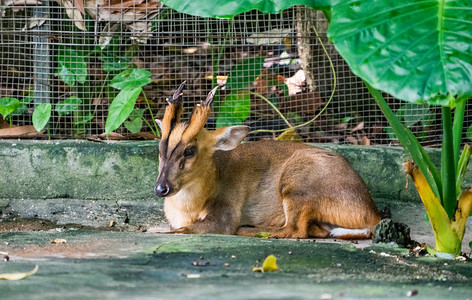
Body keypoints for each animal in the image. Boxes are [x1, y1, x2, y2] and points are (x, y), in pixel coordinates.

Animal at [156, 82, 384, 239]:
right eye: (160, 148)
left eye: (190, 150)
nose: (160, 188)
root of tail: (372, 214)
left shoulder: (226, 210)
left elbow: (184, 230)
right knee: (318, 230)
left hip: (298, 183)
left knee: (295, 229)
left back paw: (250, 228)